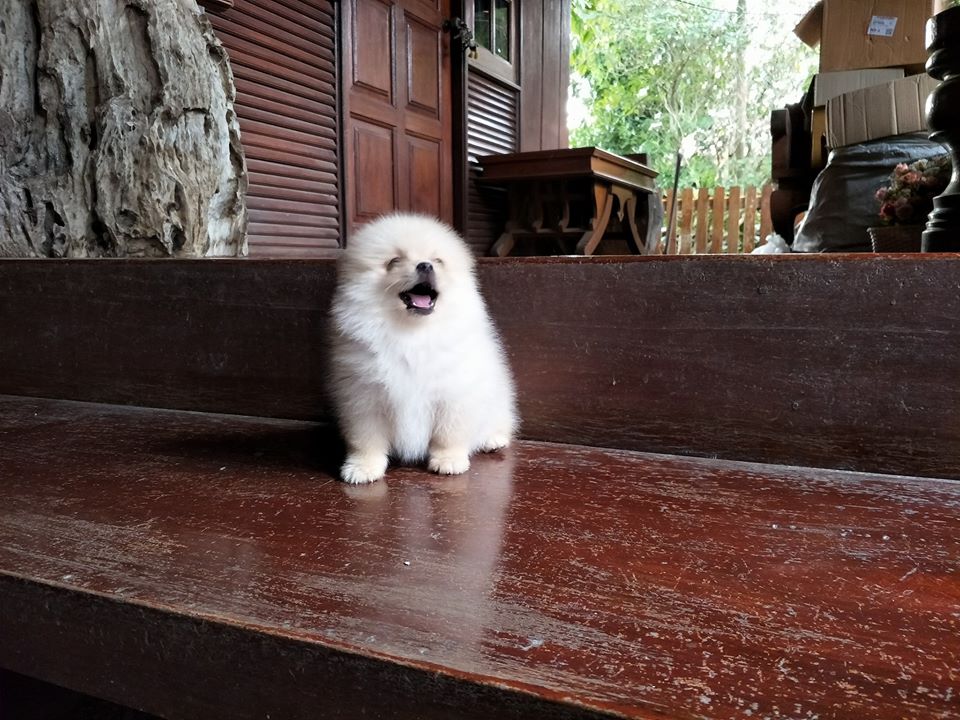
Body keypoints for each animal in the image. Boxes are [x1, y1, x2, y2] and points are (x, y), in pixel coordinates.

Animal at [329, 213, 517, 484]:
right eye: (394, 261)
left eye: (438, 261)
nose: (425, 265)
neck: (411, 333)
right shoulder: (364, 396)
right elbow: (366, 440)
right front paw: (363, 467)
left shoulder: (453, 393)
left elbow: (449, 434)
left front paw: (449, 460)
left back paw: (493, 439)